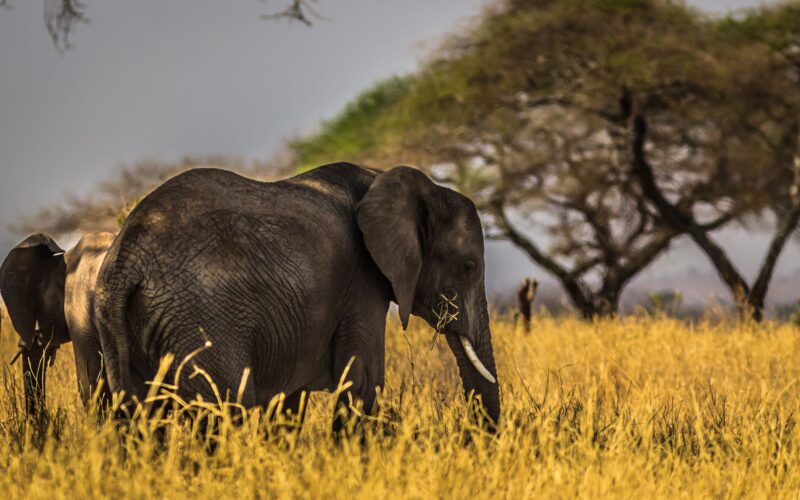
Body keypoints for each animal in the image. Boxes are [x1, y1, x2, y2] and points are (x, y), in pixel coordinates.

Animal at [94, 163, 500, 431]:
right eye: (467, 267)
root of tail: (128, 256)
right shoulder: (362, 282)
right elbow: (363, 381)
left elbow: (289, 400)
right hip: (199, 318)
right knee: (225, 410)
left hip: (121, 327)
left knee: (136, 416)